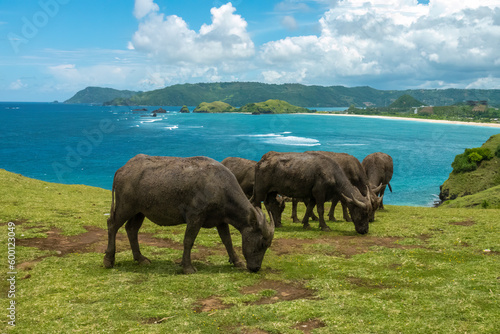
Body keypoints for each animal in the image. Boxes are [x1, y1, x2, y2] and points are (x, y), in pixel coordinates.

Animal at [102, 154, 274, 274]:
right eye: (262, 244)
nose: (256, 268)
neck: (219, 187)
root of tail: (123, 169)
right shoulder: (195, 217)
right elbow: (188, 241)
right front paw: (187, 267)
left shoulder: (220, 220)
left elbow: (227, 241)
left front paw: (237, 261)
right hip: (125, 207)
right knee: (112, 225)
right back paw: (108, 260)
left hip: (139, 212)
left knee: (131, 229)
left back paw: (141, 259)